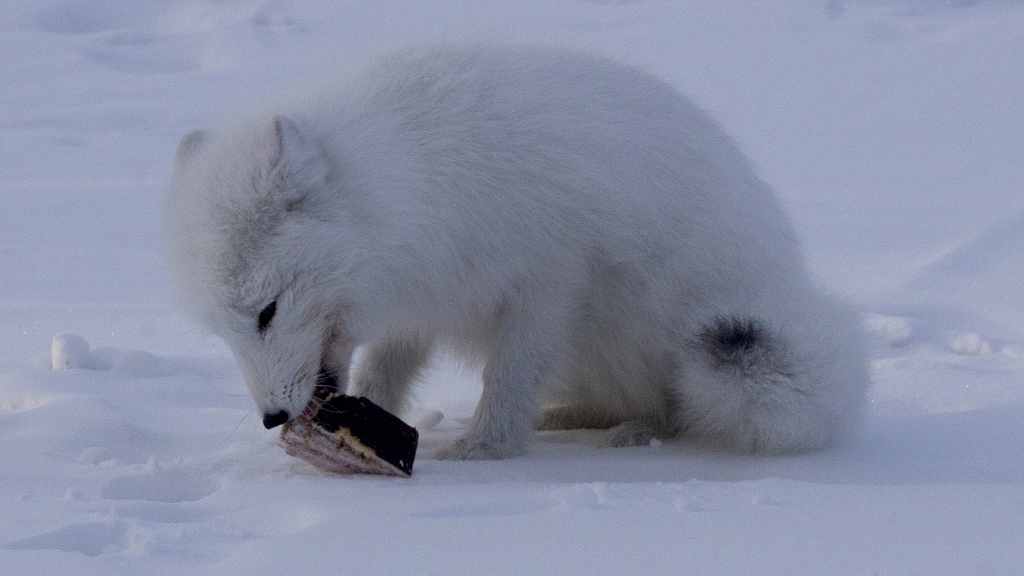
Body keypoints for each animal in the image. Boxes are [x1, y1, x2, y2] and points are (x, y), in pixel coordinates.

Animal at [164, 44, 868, 460]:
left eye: (266, 313)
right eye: (225, 332)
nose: (271, 418)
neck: (409, 184)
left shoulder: (548, 281)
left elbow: (509, 377)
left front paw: (482, 451)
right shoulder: (425, 296)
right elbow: (385, 371)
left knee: (673, 410)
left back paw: (626, 435)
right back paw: (570, 420)